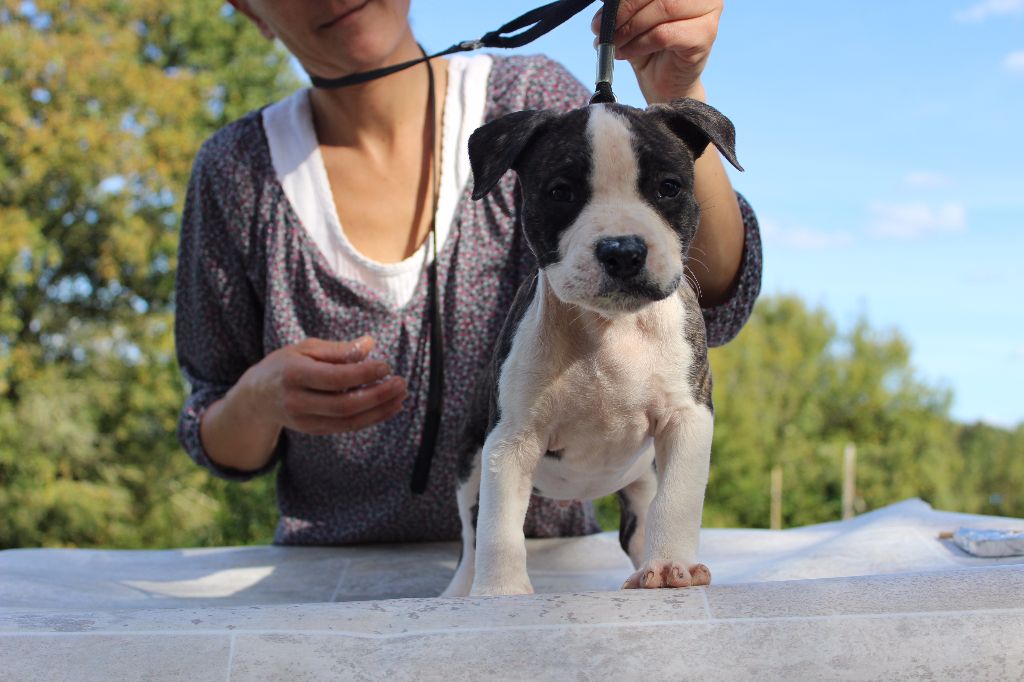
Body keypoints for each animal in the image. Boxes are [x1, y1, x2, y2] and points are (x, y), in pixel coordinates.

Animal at [442, 98, 742, 597]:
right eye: (561, 192)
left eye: (668, 188)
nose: (622, 250)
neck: (608, 328)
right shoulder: (511, 439)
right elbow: (498, 526)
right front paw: (501, 593)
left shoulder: (687, 416)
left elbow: (677, 498)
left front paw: (668, 564)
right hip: (468, 458)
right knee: (469, 529)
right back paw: (461, 588)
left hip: (640, 478)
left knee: (640, 520)